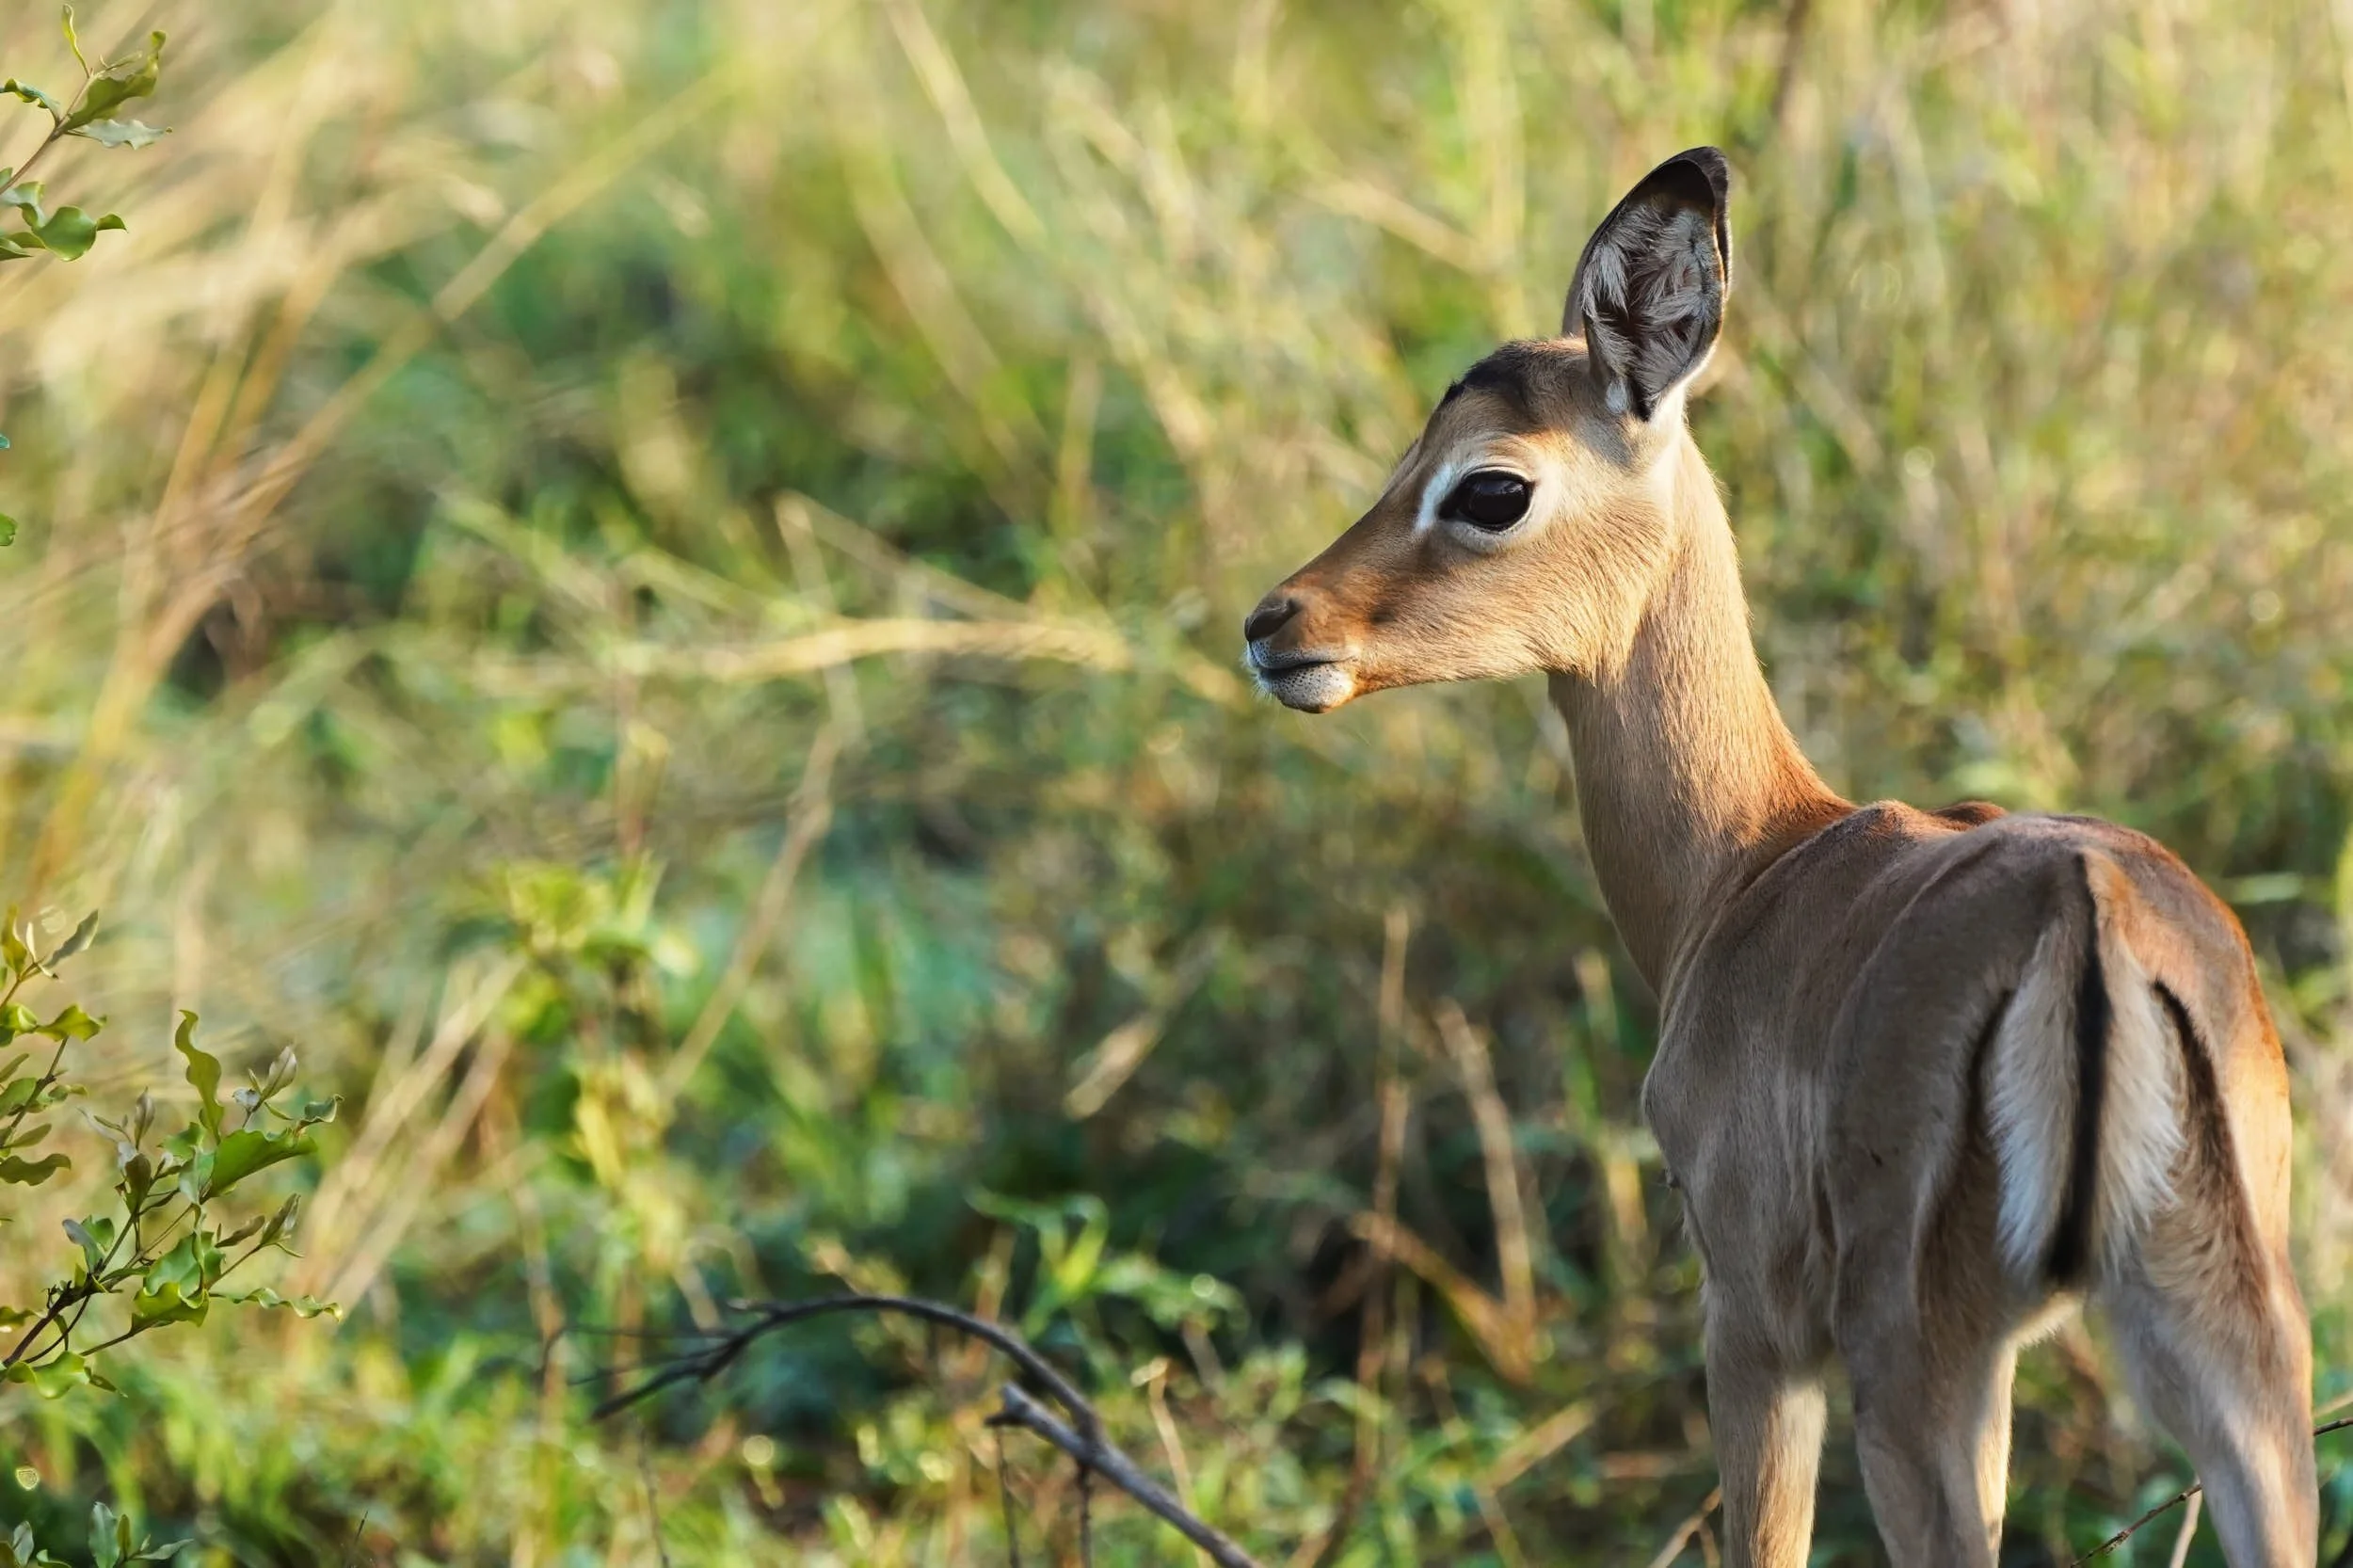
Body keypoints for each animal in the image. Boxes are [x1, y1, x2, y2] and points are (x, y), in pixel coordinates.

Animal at [1243, 148, 2316, 1566]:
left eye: (1489, 485)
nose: (1277, 625)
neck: (1752, 867)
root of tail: (2088, 917)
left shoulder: (1750, 1326)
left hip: (1915, 1365)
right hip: (2232, 1346)